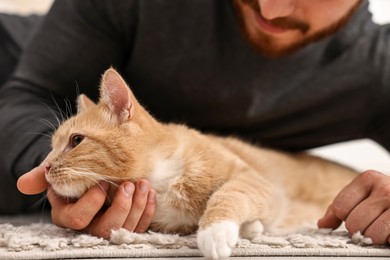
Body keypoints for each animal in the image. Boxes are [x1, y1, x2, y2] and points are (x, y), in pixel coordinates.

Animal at [43, 68, 356, 258]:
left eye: (76, 140)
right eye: (52, 146)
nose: (44, 167)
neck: (162, 179)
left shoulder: (256, 181)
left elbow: (229, 195)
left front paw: (215, 232)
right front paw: (250, 227)